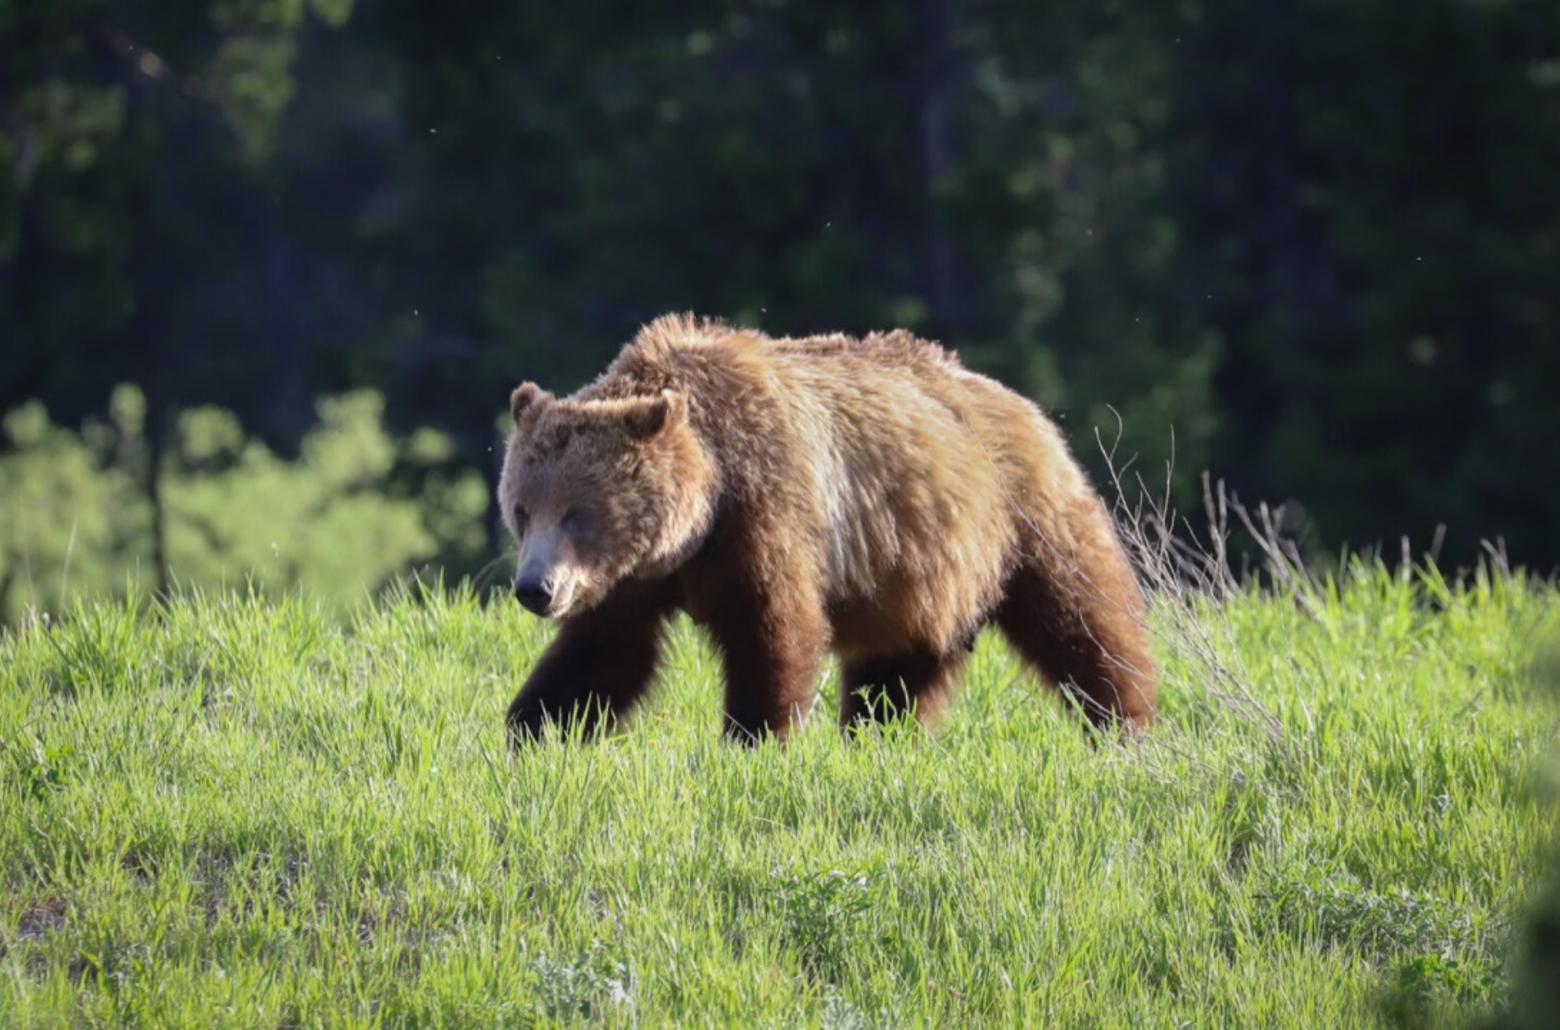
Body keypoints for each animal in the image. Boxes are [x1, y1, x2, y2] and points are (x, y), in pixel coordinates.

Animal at [499, 312, 1160, 739]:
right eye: (522, 509)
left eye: (577, 512)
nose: (535, 589)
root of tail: (1027, 405)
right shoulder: (633, 579)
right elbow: (603, 653)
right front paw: (531, 729)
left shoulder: (765, 513)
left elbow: (774, 631)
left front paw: (755, 735)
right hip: (916, 580)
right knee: (895, 675)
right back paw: (877, 739)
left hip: (1022, 519)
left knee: (1083, 622)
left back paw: (1126, 724)